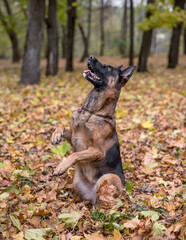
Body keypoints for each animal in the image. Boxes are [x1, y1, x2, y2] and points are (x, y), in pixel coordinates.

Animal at [50, 55, 137, 204]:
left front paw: (61, 166)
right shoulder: (74, 136)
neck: (91, 112)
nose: (91, 56)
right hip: (77, 181)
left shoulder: (97, 150)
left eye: (108, 68)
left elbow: (75, 154)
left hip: (107, 178)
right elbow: (61, 126)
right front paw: (56, 135)